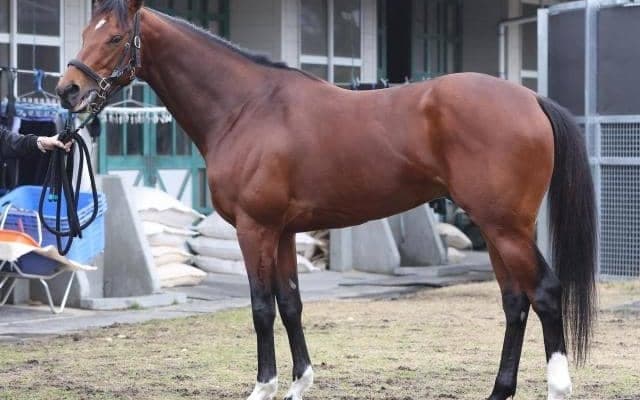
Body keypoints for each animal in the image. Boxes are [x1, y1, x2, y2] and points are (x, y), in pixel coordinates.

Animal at [56, 1, 597, 399]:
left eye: (114, 38)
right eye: (84, 31)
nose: (67, 90)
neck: (246, 108)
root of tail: (530, 99)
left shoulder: (254, 229)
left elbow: (261, 306)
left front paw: (264, 387)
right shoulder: (282, 232)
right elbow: (291, 303)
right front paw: (300, 384)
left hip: (506, 228)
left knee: (546, 293)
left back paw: (558, 387)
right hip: (496, 226)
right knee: (515, 302)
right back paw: (499, 391)